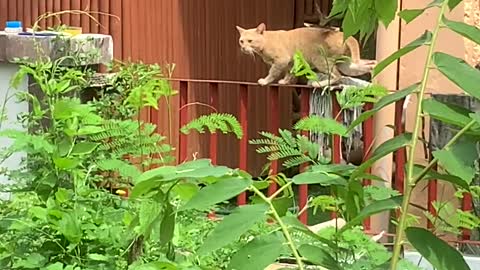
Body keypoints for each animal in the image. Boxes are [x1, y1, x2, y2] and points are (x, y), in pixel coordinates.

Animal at [235, 23, 376, 87]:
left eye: (250, 41)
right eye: (241, 41)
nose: (243, 48)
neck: (266, 41)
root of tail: (343, 33)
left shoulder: (281, 60)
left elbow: (272, 73)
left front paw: (264, 81)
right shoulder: (290, 62)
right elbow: (289, 73)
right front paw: (285, 81)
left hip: (321, 60)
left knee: (337, 76)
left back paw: (318, 84)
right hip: (347, 65)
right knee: (368, 64)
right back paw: (374, 70)